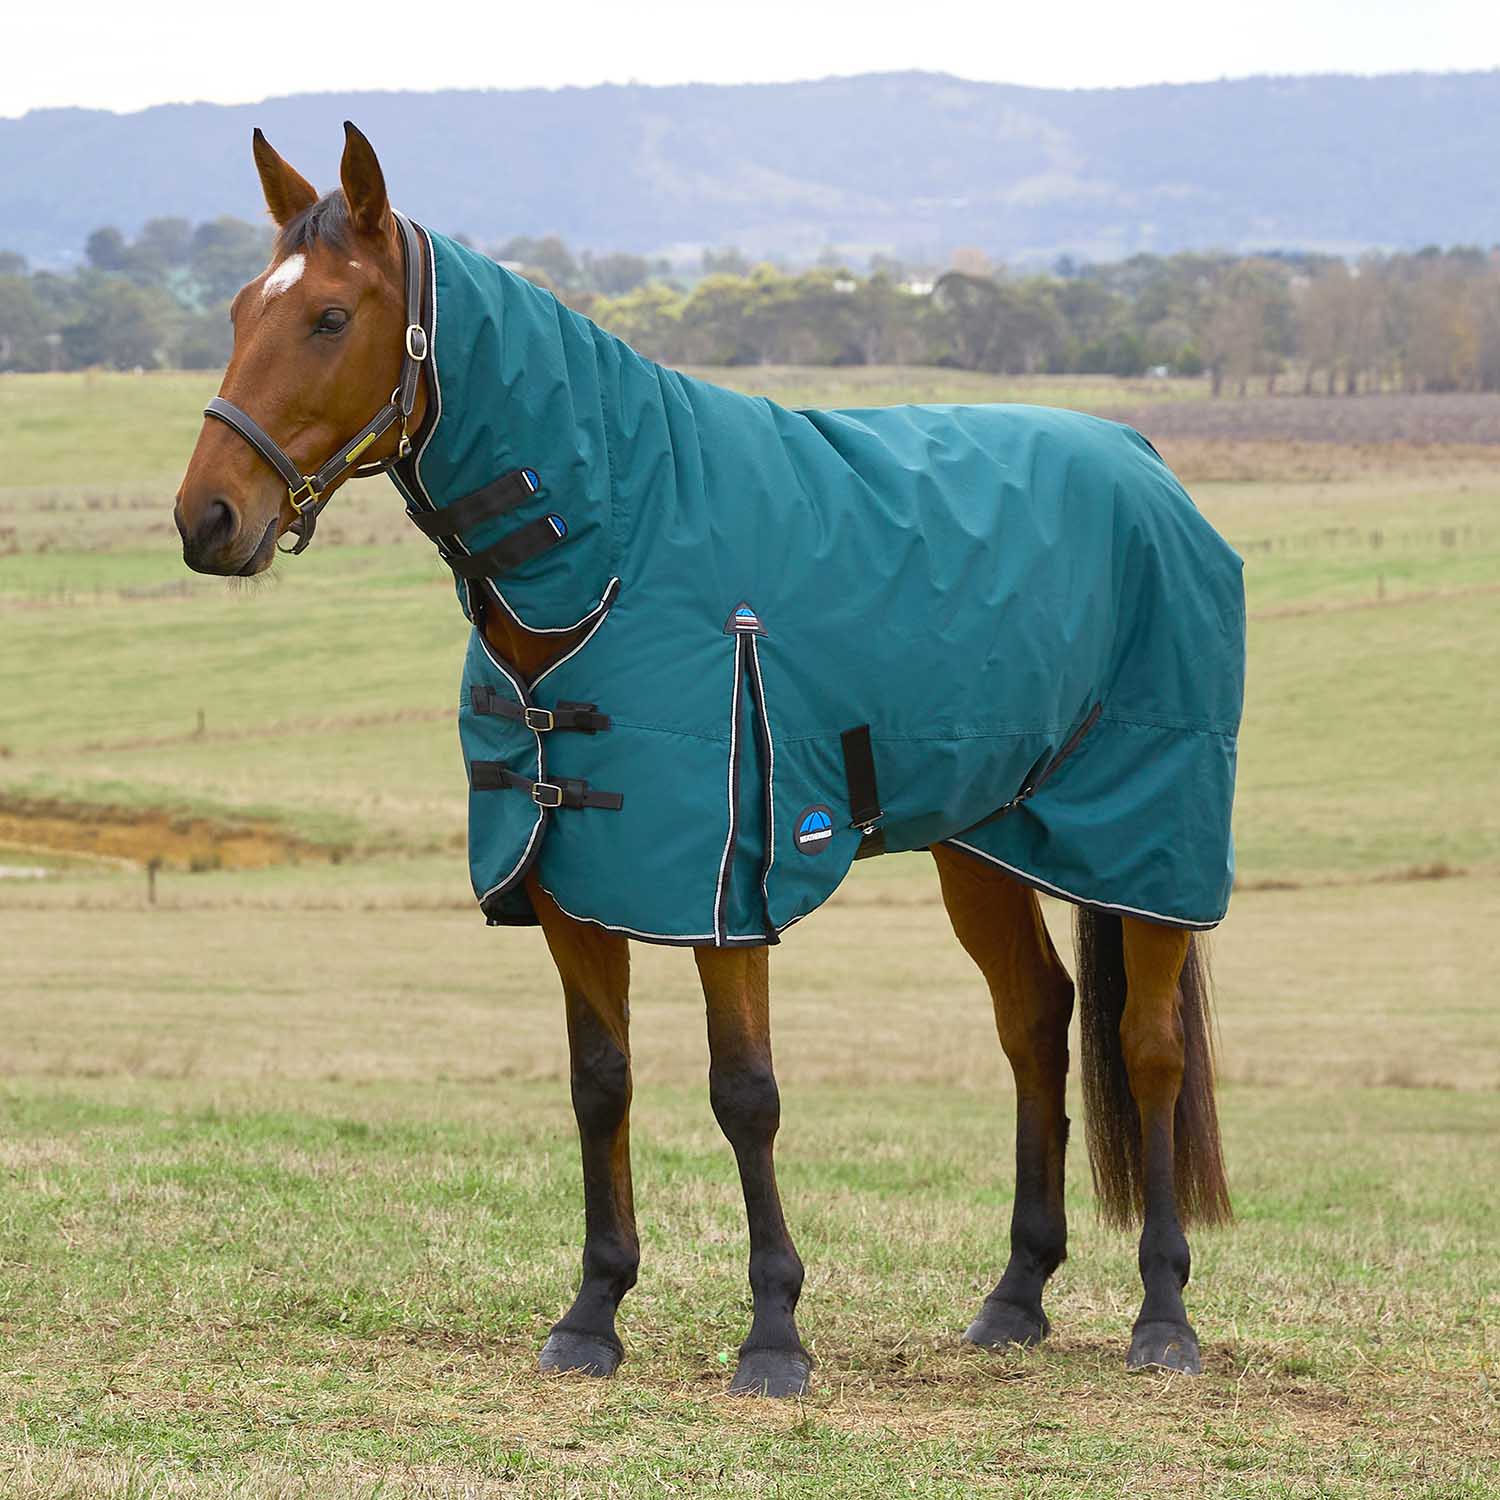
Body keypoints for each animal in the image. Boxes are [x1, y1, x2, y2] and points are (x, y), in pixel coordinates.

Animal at [174, 122, 1238, 1398]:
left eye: (330, 317)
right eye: (242, 308)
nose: (205, 520)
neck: (618, 548)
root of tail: (1144, 458)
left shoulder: (728, 886)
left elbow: (746, 1095)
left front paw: (774, 1331)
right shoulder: (573, 875)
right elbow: (600, 1084)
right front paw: (593, 1311)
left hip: (1145, 843)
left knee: (1148, 1050)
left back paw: (1164, 1315)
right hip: (985, 840)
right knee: (1037, 1023)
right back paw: (1016, 1295)